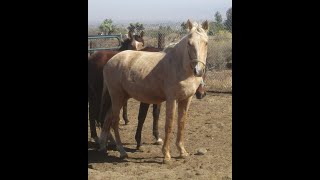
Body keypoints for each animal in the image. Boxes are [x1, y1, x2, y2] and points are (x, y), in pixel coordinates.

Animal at [100, 19, 210, 163]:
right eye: (189, 43)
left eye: (206, 42)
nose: (198, 70)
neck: (179, 66)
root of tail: (110, 61)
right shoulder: (172, 100)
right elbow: (169, 124)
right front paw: (166, 155)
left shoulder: (186, 99)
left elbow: (181, 123)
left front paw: (182, 152)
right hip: (117, 96)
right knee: (114, 120)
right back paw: (122, 151)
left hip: (122, 97)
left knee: (108, 118)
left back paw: (103, 147)